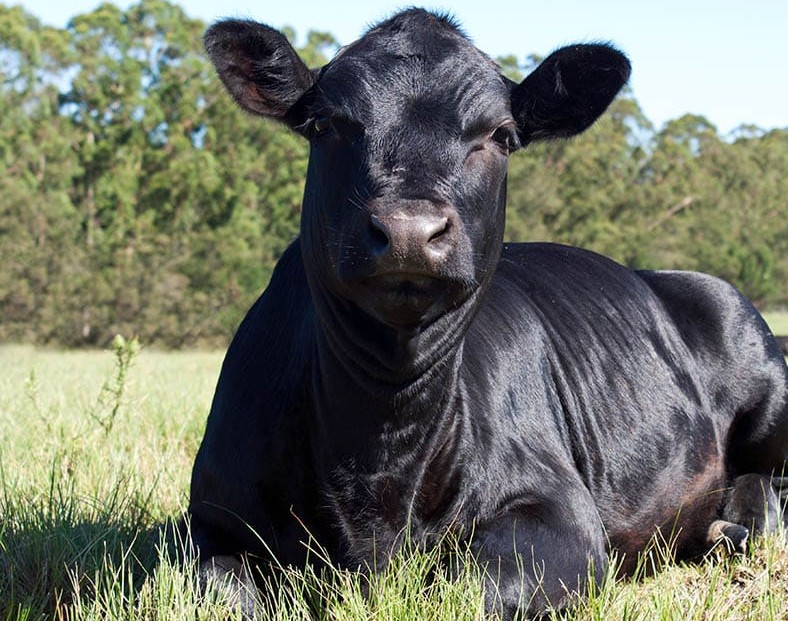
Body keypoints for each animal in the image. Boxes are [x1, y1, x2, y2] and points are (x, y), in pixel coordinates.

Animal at [188, 9, 788, 618]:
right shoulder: (213, 517)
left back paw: (736, 523)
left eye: (499, 136)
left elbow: (466, 587)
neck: (382, 446)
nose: (409, 229)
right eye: (328, 124)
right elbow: (221, 586)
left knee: (766, 480)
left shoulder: (562, 511)